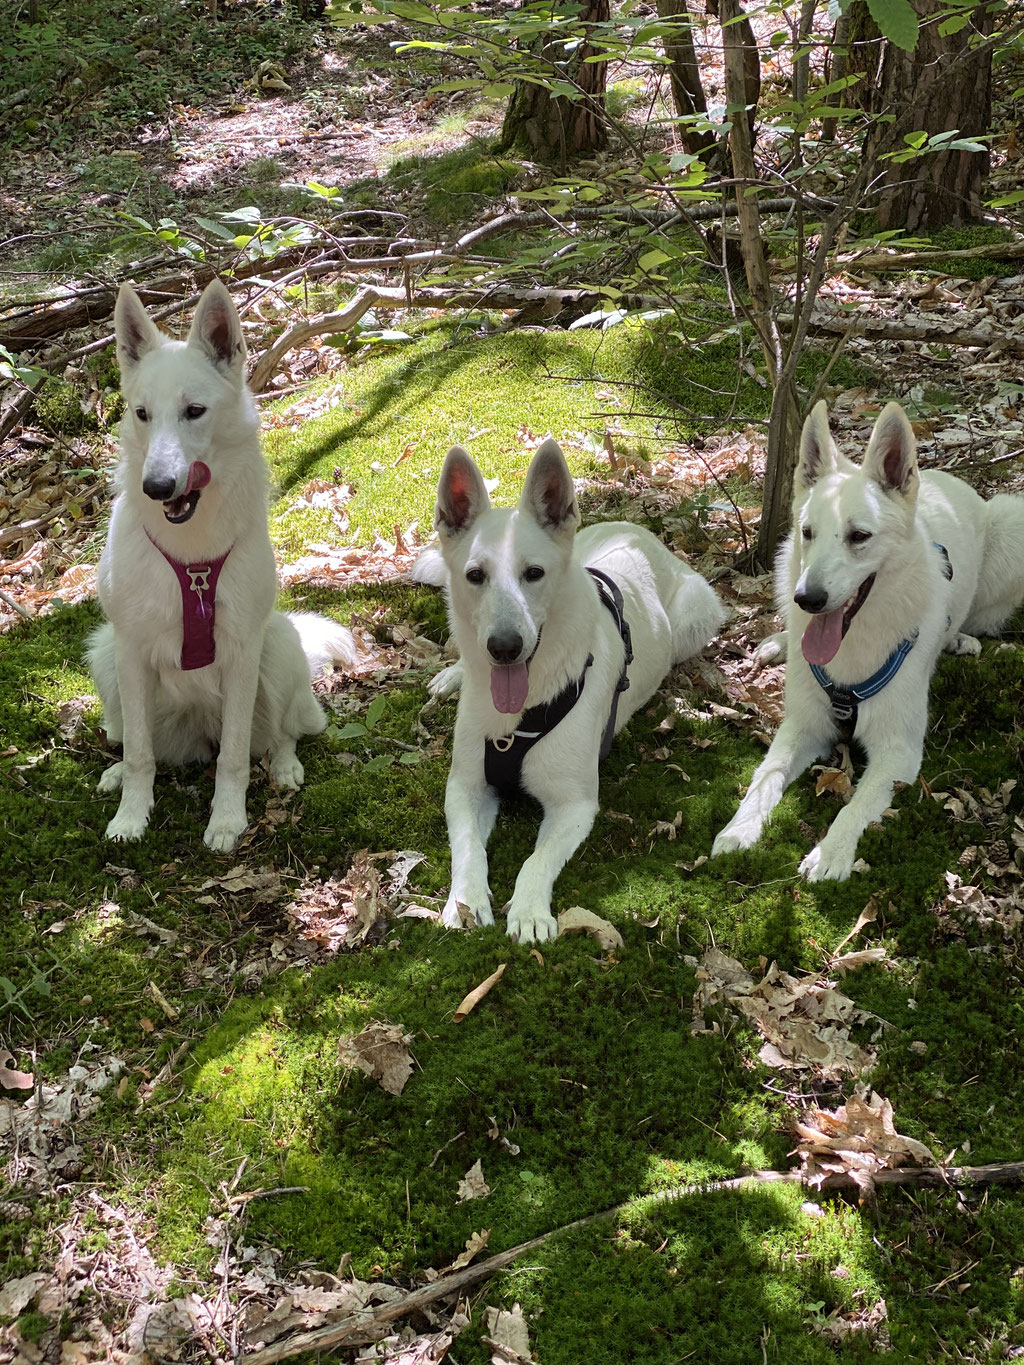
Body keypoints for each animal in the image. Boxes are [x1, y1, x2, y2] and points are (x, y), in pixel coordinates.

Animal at [89, 278, 360, 846]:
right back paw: (116, 772)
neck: (192, 555)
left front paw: (228, 820)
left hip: (276, 647)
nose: (157, 486)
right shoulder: (129, 648)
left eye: (194, 411)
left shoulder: (241, 652)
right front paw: (131, 814)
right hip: (105, 656)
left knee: (282, 733)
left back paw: (284, 766)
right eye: (142, 414)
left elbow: (233, 758)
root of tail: (198, 730)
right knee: (133, 740)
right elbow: (142, 754)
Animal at [428, 436, 726, 939]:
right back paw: (454, 675)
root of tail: (639, 532)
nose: (504, 648)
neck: (520, 714)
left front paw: (529, 910)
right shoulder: (465, 787)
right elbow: (467, 848)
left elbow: (536, 860)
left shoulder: (575, 805)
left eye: (534, 573)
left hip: (693, 622)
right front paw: (464, 902)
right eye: (475, 576)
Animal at [715, 398, 1024, 879]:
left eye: (859, 536)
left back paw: (960, 640)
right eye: (808, 532)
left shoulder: (897, 752)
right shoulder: (802, 726)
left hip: (1012, 528)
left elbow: (854, 806)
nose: (808, 600)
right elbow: (766, 775)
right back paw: (779, 641)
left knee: (978, 620)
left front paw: (831, 853)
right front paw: (738, 829)